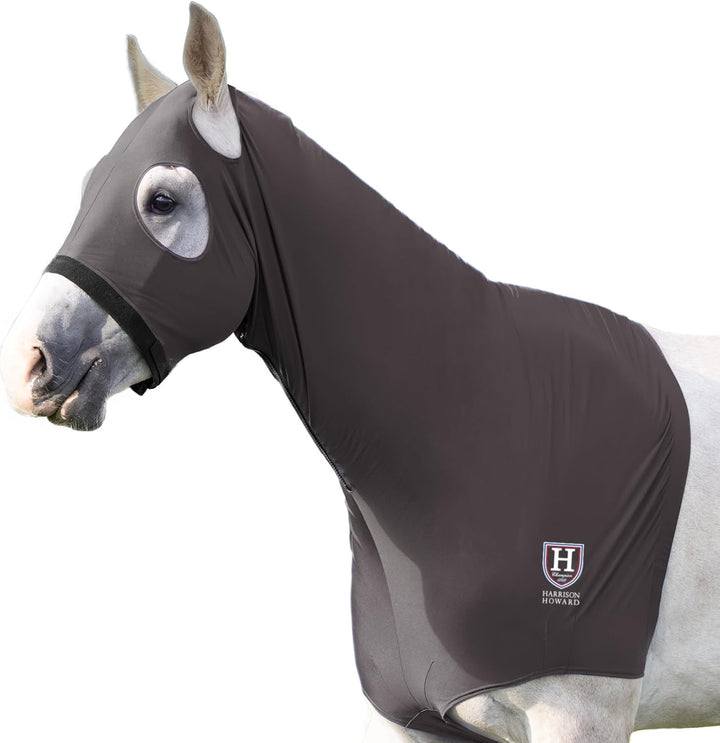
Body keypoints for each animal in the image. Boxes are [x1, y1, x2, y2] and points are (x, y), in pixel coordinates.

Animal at [1, 5, 719, 742]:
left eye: (162, 200)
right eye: (87, 188)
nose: (30, 360)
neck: (479, 424)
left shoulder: (580, 714)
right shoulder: (414, 720)